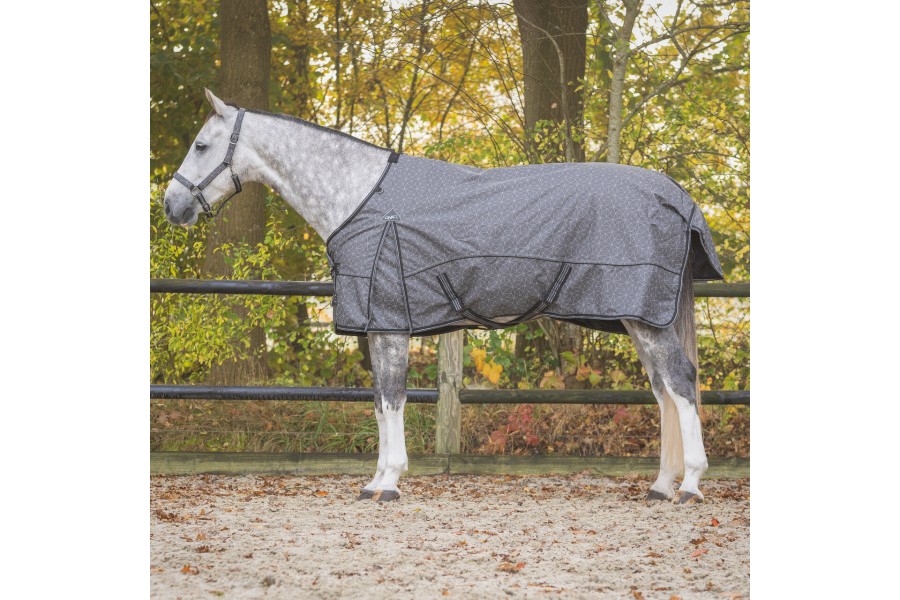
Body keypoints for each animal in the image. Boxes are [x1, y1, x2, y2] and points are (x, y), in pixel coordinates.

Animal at [162, 89, 720, 504]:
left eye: (202, 146)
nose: (171, 206)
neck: (360, 196)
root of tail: (677, 196)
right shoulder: (378, 325)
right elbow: (381, 402)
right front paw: (378, 479)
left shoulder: (388, 323)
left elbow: (391, 399)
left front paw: (387, 482)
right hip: (639, 320)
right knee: (664, 391)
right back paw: (661, 485)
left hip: (647, 319)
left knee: (681, 383)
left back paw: (691, 485)